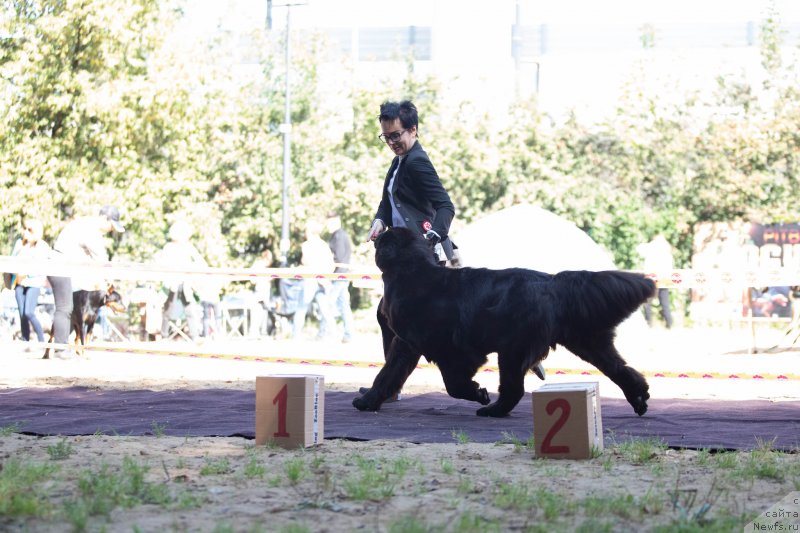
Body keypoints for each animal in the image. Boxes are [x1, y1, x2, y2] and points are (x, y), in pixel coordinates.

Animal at [354, 227, 652, 418]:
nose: (376, 232)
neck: (412, 273)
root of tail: (551, 282)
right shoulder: (407, 344)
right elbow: (387, 375)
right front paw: (368, 401)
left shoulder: (451, 351)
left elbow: (453, 384)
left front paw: (478, 393)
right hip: (586, 341)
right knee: (622, 369)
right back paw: (638, 398)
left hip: (512, 350)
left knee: (513, 390)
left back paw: (492, 409)